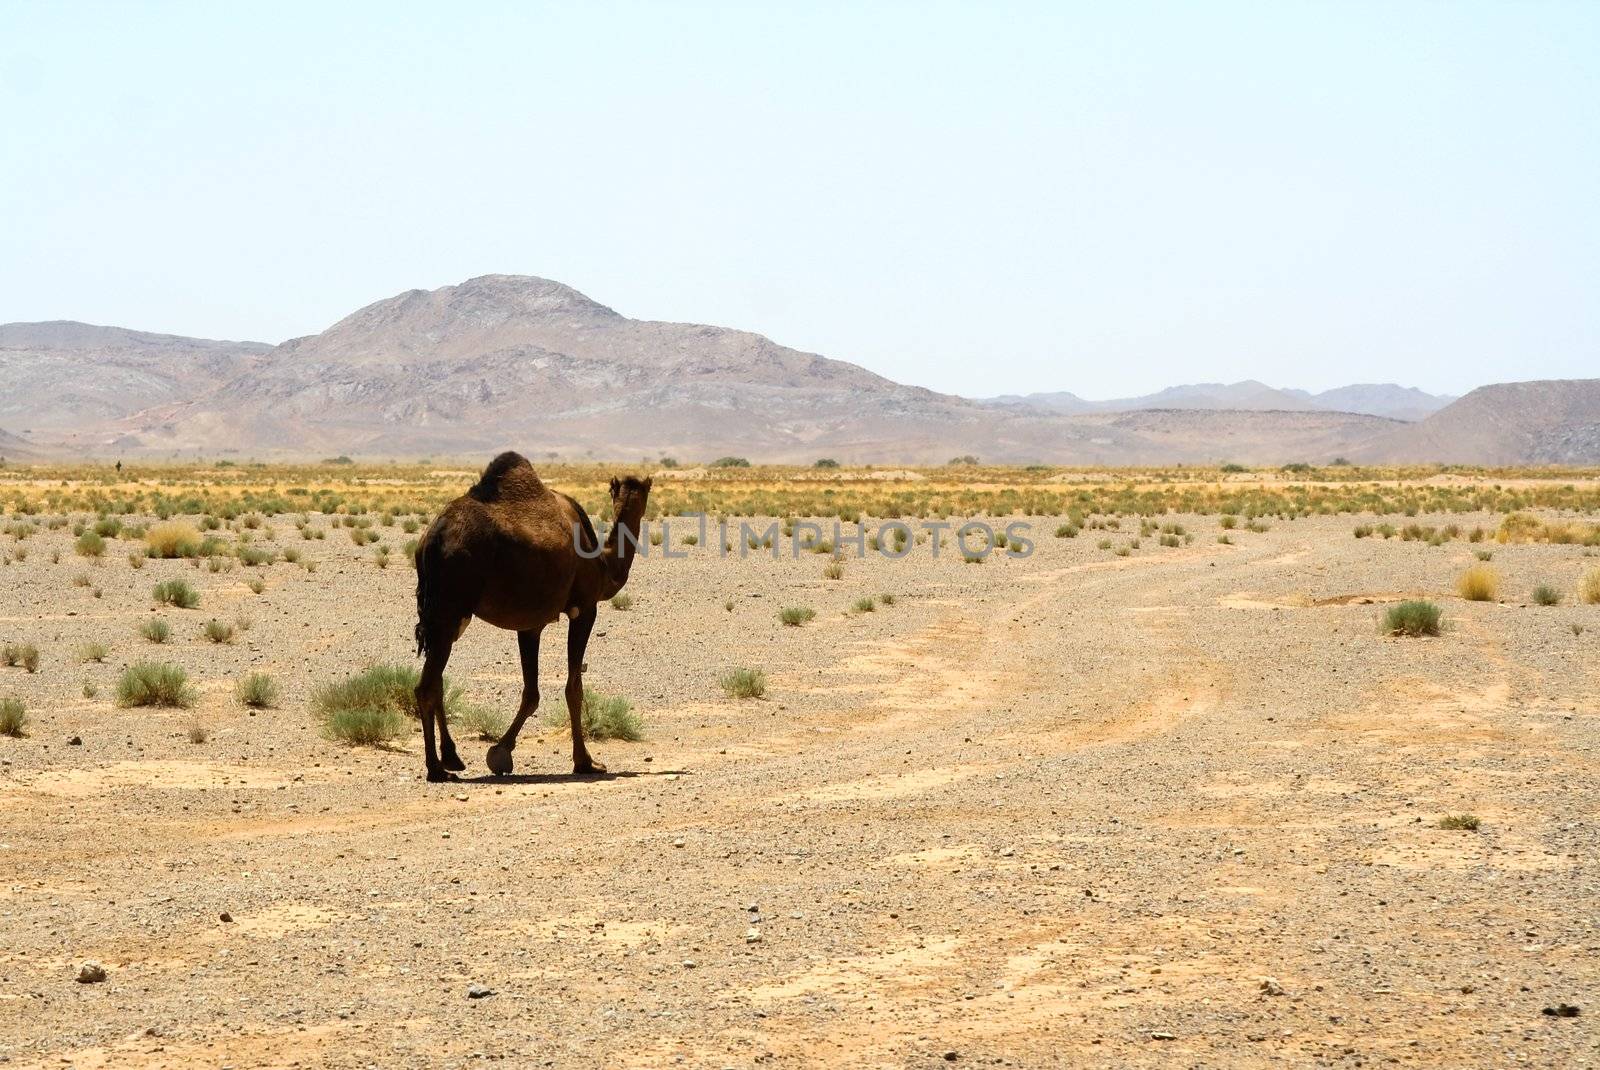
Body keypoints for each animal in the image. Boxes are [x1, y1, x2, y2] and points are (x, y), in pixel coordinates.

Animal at [409, 447, 652, 777]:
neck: (603, 565)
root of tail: (431, 539)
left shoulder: (530, 624)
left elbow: (531, 692)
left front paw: (500, 753)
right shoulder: (584, 608)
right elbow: (573, 688)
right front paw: (586, 762)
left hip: (446, 617)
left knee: (436, 681)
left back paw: (452, 757)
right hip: (449, 609)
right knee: (426, 686)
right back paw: (436, 768)